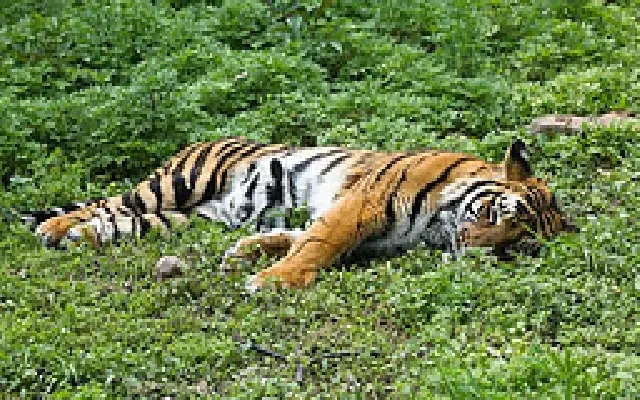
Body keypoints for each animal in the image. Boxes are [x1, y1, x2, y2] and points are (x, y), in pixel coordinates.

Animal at [27, 137, 576, 290]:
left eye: (518, 246)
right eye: (501, 215)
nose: (475, 251)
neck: (438, 227)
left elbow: (295, 236)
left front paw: (245, 256)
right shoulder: (362, 204)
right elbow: (317, 243)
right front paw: (273, 280)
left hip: (188, 217)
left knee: (120, 221)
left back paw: (79, 238)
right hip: (177, 183)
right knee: (109, 202)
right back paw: (53, 228)